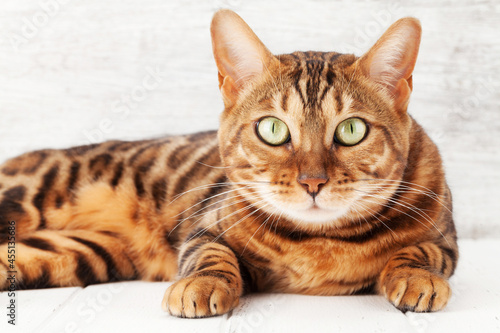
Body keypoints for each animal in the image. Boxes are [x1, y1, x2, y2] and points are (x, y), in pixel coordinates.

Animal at [0, 9, 458, 316]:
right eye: (272, 129)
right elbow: (209, 253)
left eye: (351, 130)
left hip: (76, 254)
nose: (312, 182)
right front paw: (200, 284)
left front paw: (416, 276)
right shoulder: (205, 222)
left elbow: (422, 251)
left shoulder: (445, 236)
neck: (319, 242)